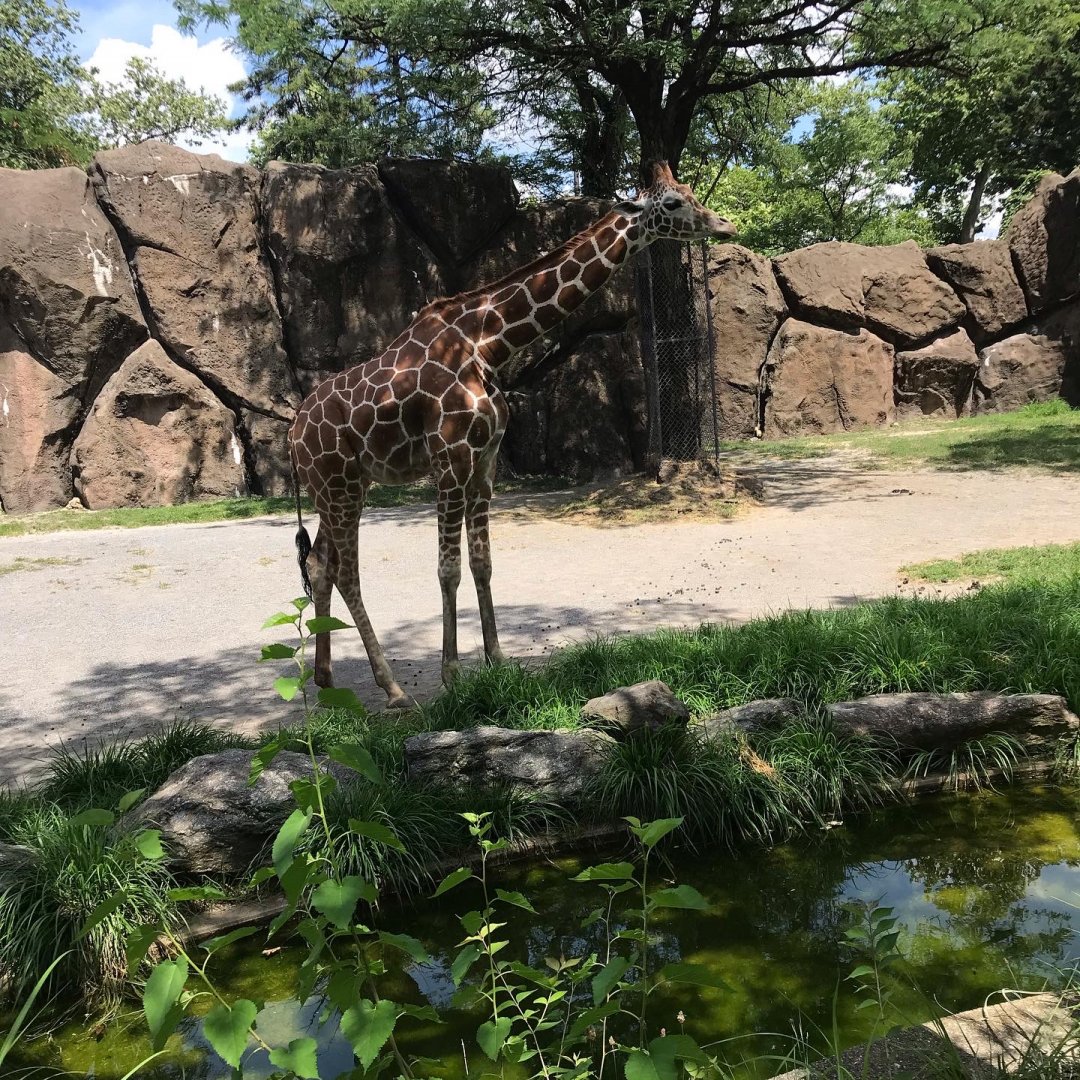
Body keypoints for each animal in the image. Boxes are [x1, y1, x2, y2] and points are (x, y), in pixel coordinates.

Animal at [288, 160, 736, 709]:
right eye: (672, 203)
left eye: (691, 192)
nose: (724, 226)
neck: (489, 344)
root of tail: (292, 435)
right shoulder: (451, 458)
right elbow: (448, 567)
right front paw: (452, 675)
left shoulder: (484, 462)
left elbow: (482, 562)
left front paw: (498, 660)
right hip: (340, 487)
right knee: (347, 571)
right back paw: (391, 688)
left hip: (341, 485)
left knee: (320, 564)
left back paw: (325, 679)